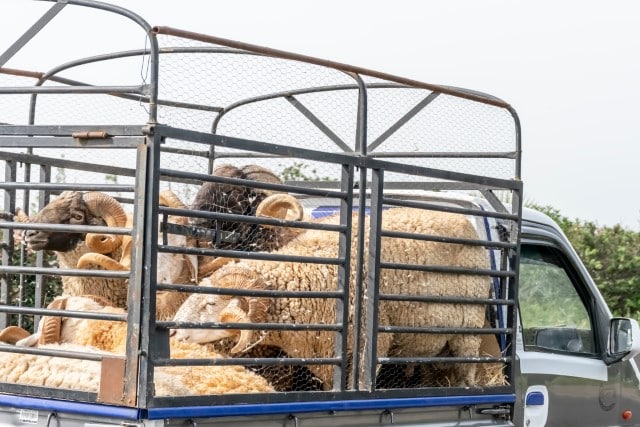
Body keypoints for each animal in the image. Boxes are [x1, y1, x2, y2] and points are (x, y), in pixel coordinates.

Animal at [171, 207, 496, 392]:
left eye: (211, 304)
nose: (172, 331)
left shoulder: (369, 346)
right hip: (435, 342)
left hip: (467, 330)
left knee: (466, 366)